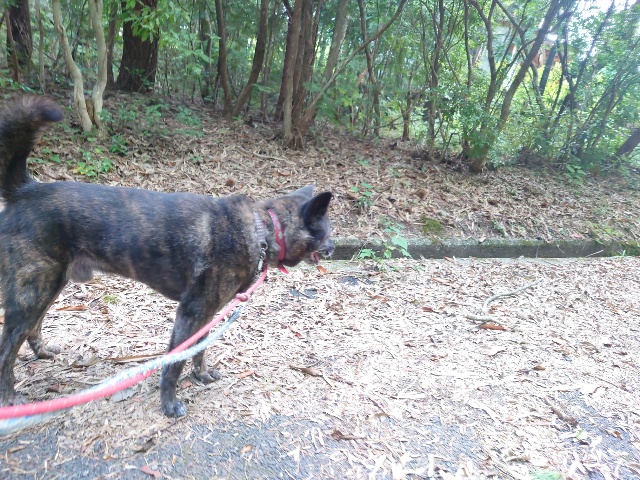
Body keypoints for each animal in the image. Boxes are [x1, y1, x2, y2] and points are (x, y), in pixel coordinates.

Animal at [0, 96, 334, 417]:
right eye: (326, 231)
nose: (332, 248)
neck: (261, 230)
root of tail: (26, 190)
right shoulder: (191, 312)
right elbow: (175, 362)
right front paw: (169, 404)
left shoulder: (208, 314)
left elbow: (198, 350)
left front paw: (201, 375)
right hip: (33, 291)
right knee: (7, 348)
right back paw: (10, 398)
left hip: (50, 286)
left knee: (32, 327)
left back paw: (42, 353)